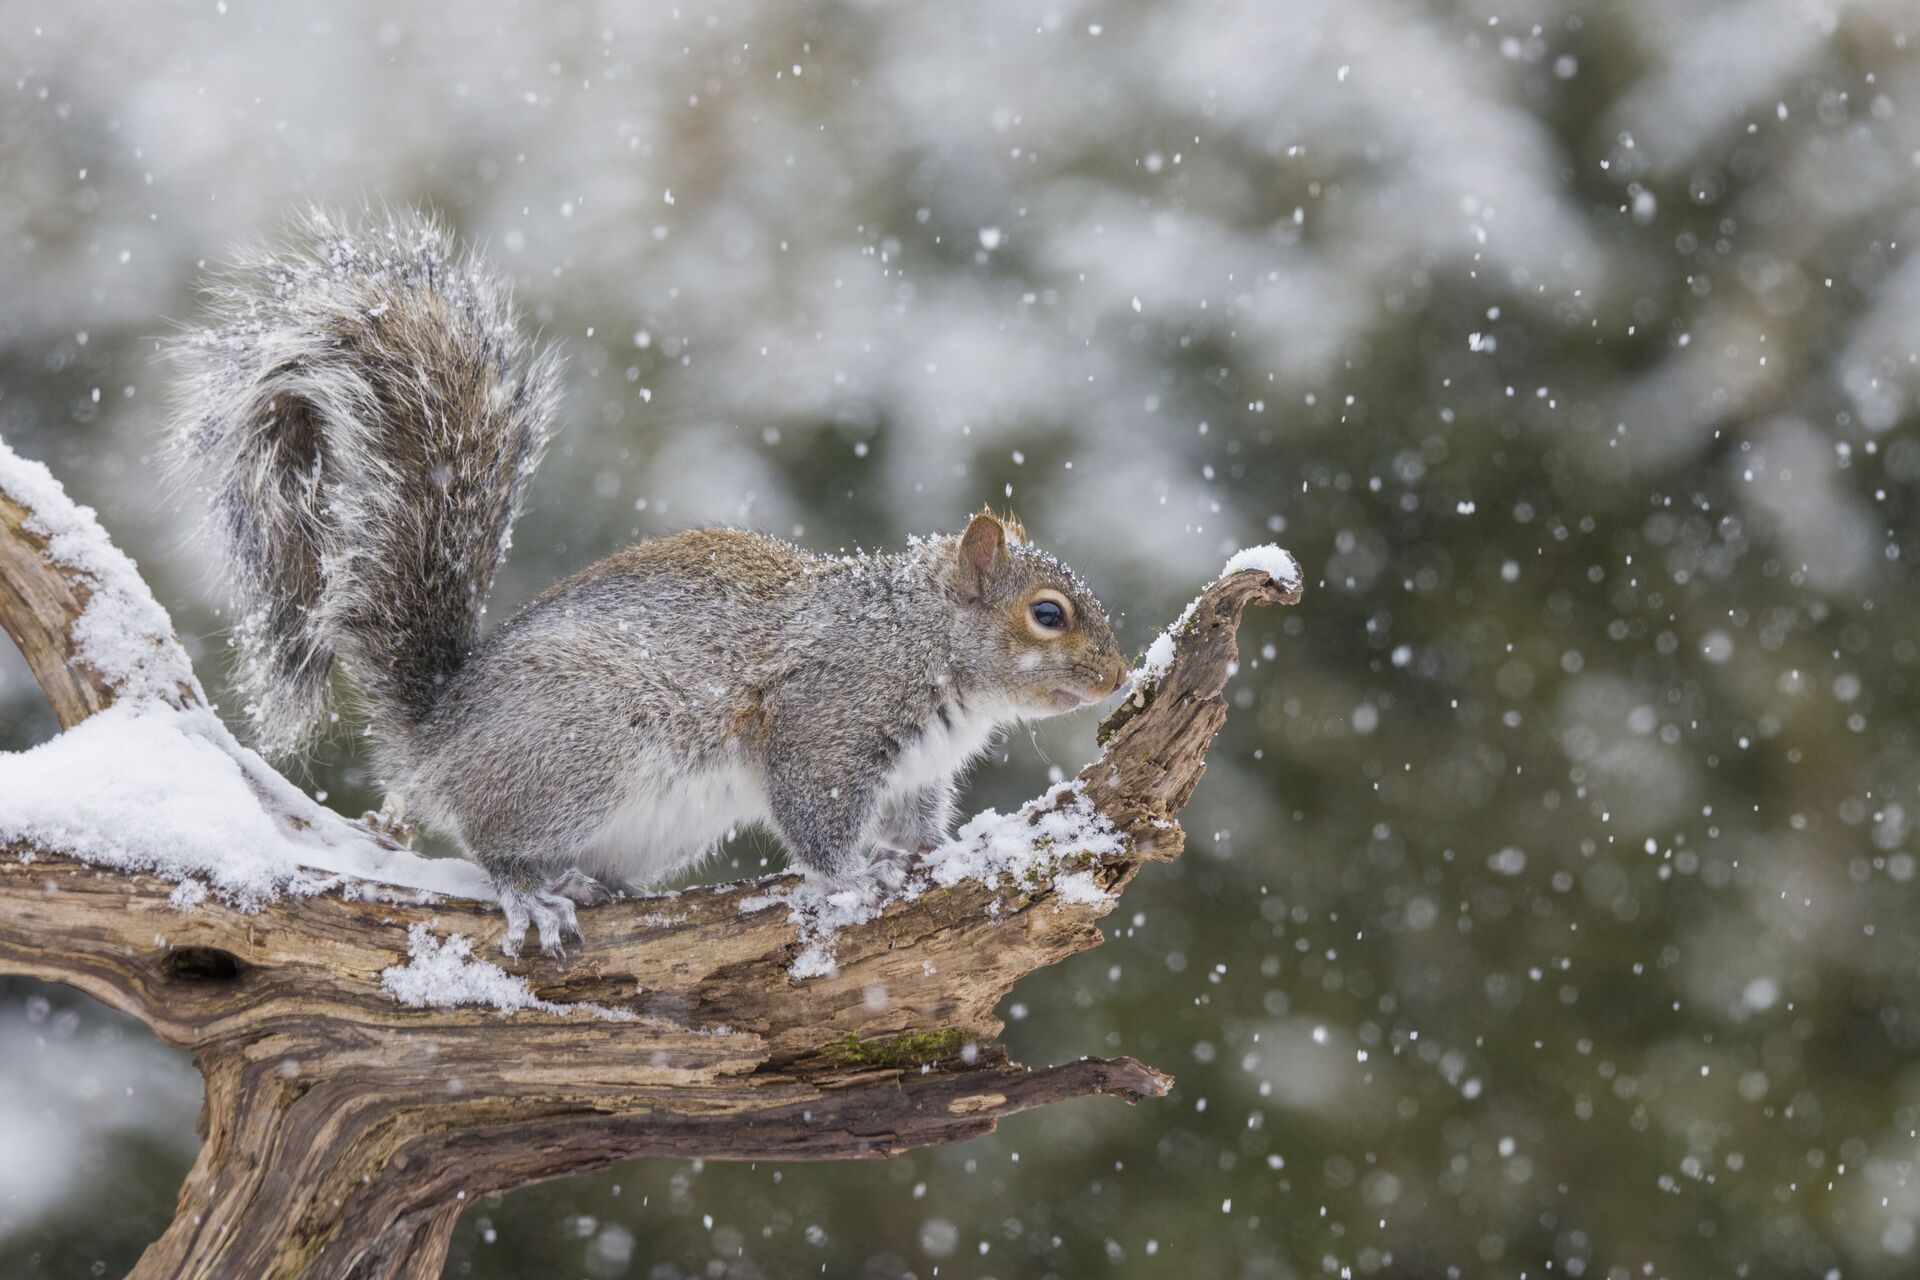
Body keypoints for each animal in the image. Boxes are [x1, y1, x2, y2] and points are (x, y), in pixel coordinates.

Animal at [168, 213, 1121, 951]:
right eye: (1047, 615)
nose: (1116, 679)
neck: (924, 639)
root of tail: (439, 736)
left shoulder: (916, 772)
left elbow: (917, 823)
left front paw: (926, 857)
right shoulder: (824, 720)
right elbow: (813, 817)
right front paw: (853, 880)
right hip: (579, 753)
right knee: (491, 842)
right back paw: (533, 893)